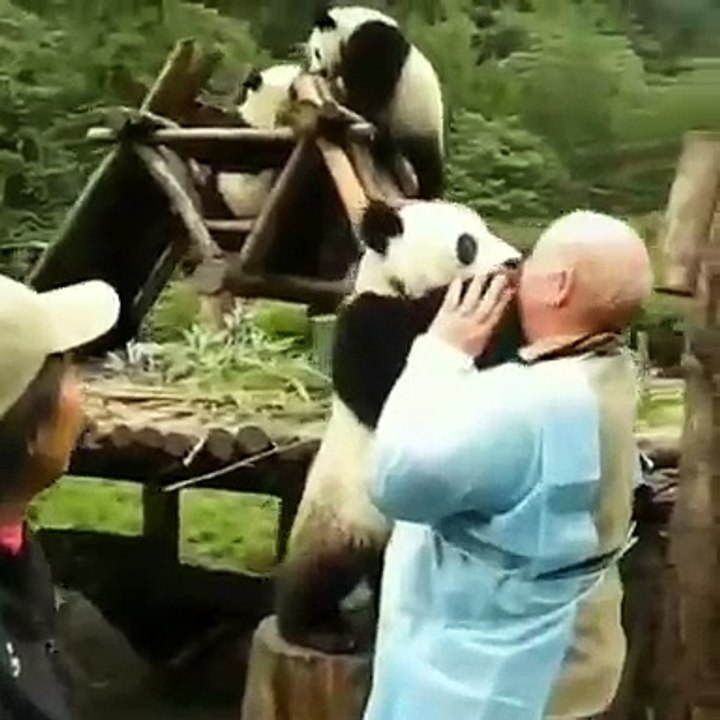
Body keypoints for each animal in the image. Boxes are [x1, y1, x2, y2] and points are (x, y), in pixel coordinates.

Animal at [275, 198, 525, 655]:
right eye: (467, 243)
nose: (514, 261)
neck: (397, 286)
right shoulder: (370, 325)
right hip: (347, 511)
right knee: (321, 571)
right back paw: (317, 629)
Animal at [306, 6, 445, 200]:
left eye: (317, 52)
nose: (316, 71)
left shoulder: (375, 42)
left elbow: (369, 88)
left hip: (417, 119)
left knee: (425, 163)